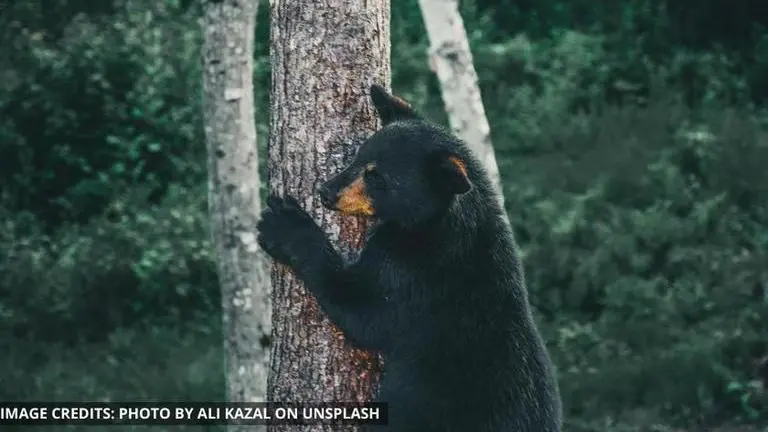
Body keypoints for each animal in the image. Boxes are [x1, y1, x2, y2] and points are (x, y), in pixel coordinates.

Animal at [257, 84, 562, 432]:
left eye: (377, 178)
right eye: (359, 157)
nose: (326, 191)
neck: (435, 222)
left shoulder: (417, 275)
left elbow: (364, 310)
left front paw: (284, 225)